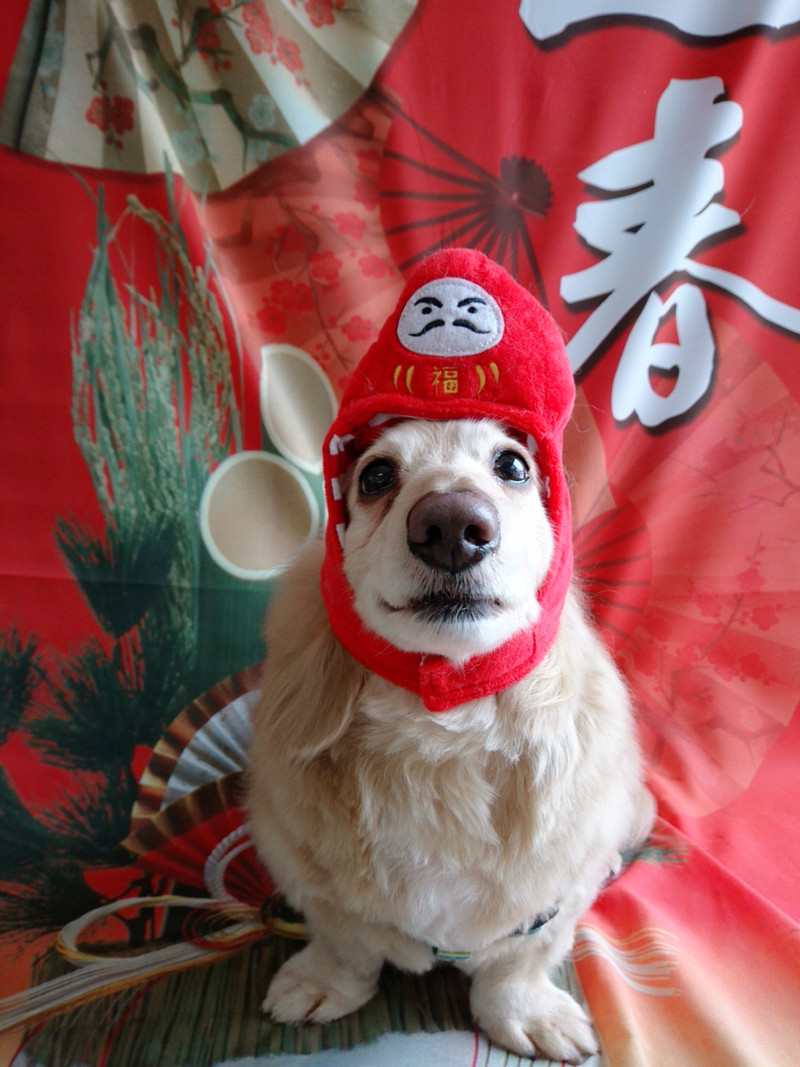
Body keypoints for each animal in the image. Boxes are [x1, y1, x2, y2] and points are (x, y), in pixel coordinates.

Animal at [246, 250, 654, 1064]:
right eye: (375, 475)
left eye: (513, 465)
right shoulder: (305, 861)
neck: (441, 726)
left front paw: (527, 1013)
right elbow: (346, 941)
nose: (452, 525)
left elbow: (515, 963)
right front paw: (324, 984)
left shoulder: (551, 896)